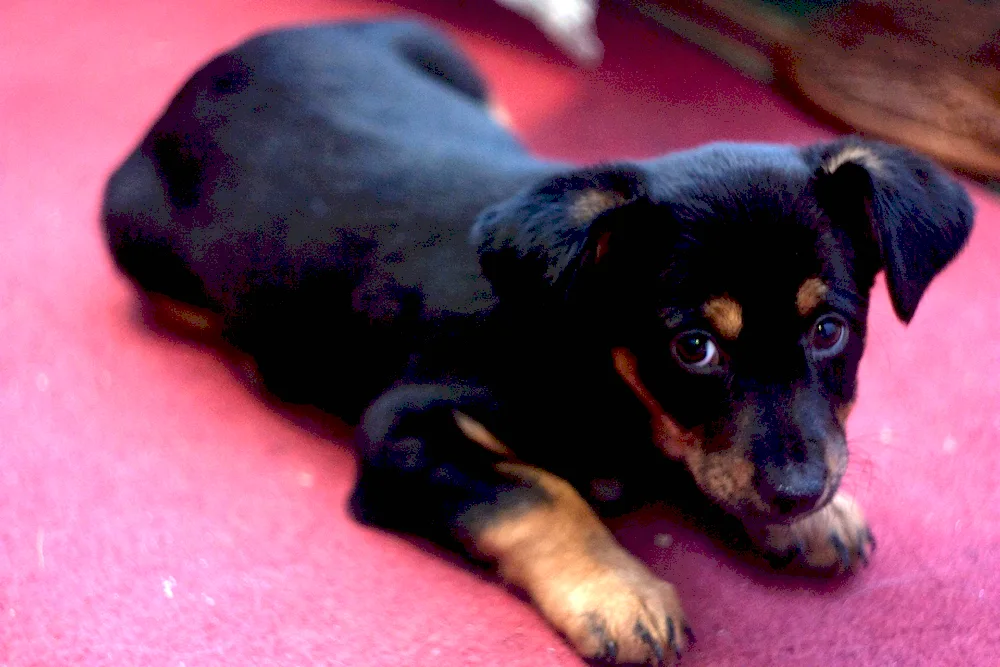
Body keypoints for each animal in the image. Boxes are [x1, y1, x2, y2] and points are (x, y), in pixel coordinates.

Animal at [101, 20, 968, 667]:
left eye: (829, 330)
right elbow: (540, 491)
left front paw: (809, 519)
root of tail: (230, 58)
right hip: (135, 233)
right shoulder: (402, 434)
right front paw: (618, 591)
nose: (799, 490)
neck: (596, 362)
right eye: (693, 348)